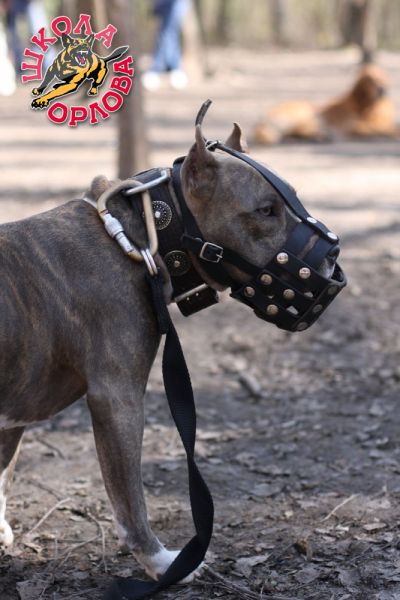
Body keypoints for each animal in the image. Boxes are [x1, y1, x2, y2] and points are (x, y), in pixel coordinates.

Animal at [0, 121, 340, 583]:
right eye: (266, 210)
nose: (334, 252)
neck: (136, 238)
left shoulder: (14, 412)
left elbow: (2, 476)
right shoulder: (117, 400)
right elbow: (130, 500)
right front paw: (161, 562)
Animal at [253, 64, 398, 144]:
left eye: (383, 77)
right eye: (370, 79)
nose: (382, 89)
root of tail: (265, 117)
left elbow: (390, 126)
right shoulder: (354, 125)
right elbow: (385, 129)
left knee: (289, 134)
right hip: (307, 115)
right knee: (293, 132)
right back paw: (321, 137)